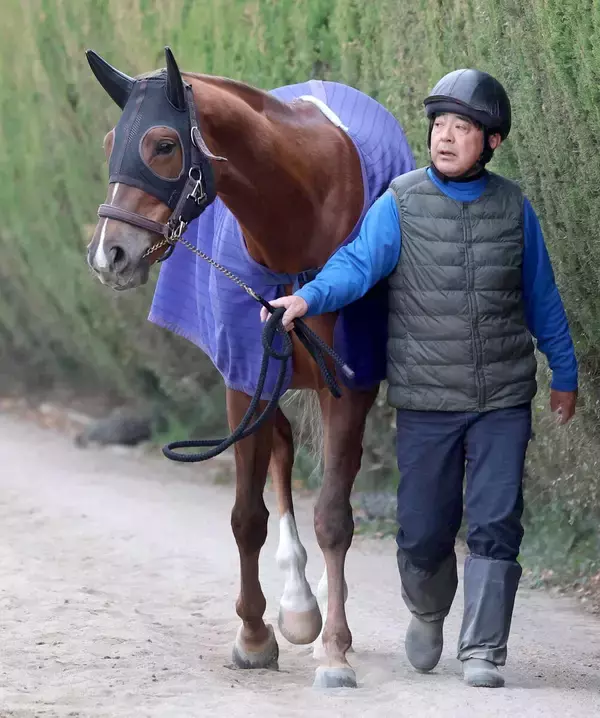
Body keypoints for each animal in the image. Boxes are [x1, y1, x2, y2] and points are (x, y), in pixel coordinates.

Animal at [85, 46, 414, 689]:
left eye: (164, 144)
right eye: (111, 139)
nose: (111, 254)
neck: (301, 212)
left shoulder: (349, 388)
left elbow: (335, 515)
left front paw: (335, 651)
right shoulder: (245, 379)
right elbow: (246, 516)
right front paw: (256, 635)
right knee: (281, 455)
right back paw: (298, 606)